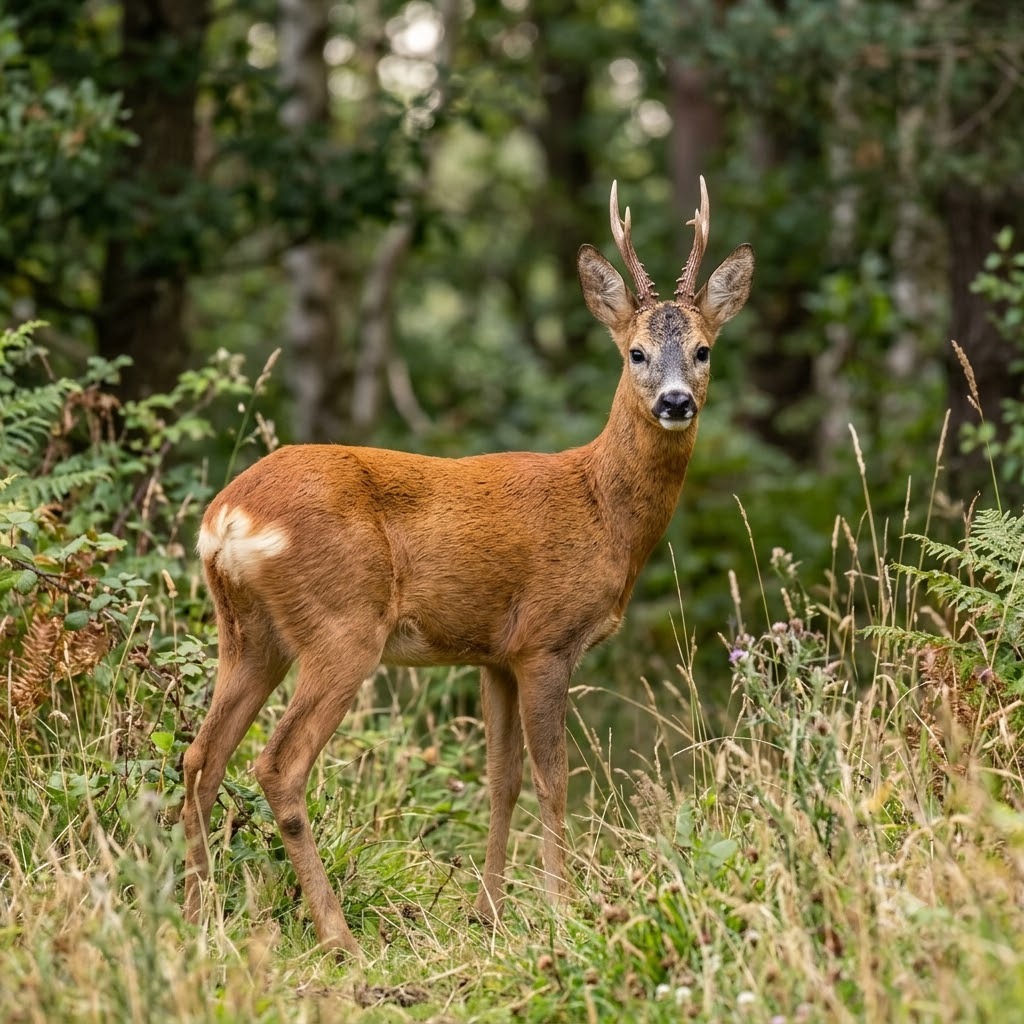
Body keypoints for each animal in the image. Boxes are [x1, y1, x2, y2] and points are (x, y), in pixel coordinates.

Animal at [182, 178, 754, 956]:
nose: (676, 401)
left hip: (248, 634)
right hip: (341, 627)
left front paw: (489, 914)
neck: (601, 508)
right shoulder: (546, 640)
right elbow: (554, 779)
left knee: (200, 758)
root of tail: (227, 520)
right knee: (278, 764)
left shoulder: (494, 653)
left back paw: (196, 915)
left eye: (702, 349)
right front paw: (561, 911)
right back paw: (337, 936)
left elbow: (501, 779)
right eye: (635, 353)